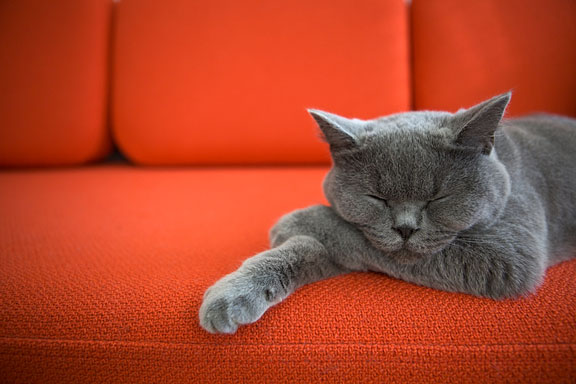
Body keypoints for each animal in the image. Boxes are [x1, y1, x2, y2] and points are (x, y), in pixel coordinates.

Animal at [199, 92, 576, 332]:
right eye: (377, 197)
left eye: (437, 198)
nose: (405, 228)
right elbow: (304, 250)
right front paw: (231, 296)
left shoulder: (509, 256)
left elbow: (349, 233)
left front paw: (295, 220)